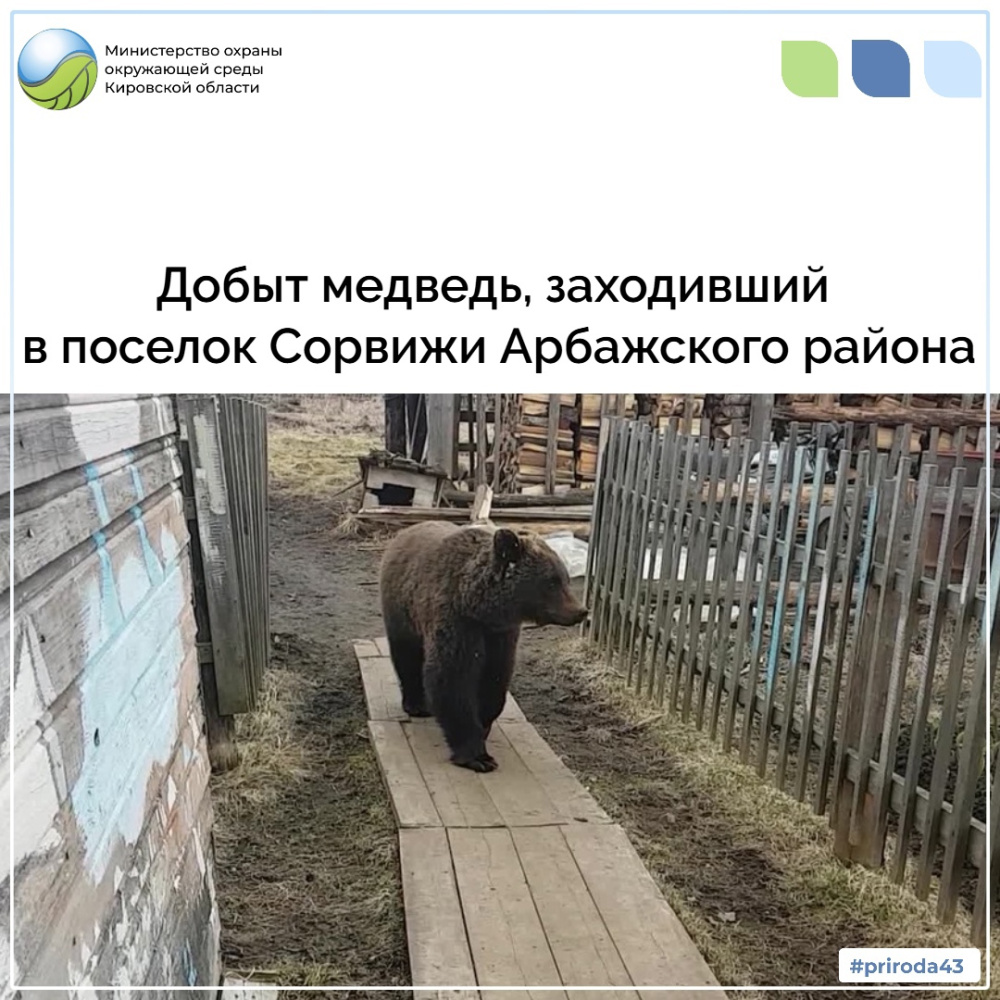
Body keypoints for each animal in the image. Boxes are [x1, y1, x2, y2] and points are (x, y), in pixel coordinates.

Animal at [378, 521, 587, 772]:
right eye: (551, 581)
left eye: (565, 579)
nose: (581, 611)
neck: (480, 607)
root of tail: (405, 531)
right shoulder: (459, 624)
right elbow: (452, 680)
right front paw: (477, 755)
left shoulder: (500, 635)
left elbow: (494, 680)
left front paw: (485, 723)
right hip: (403, 611)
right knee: (406, 656)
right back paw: (416, 704)